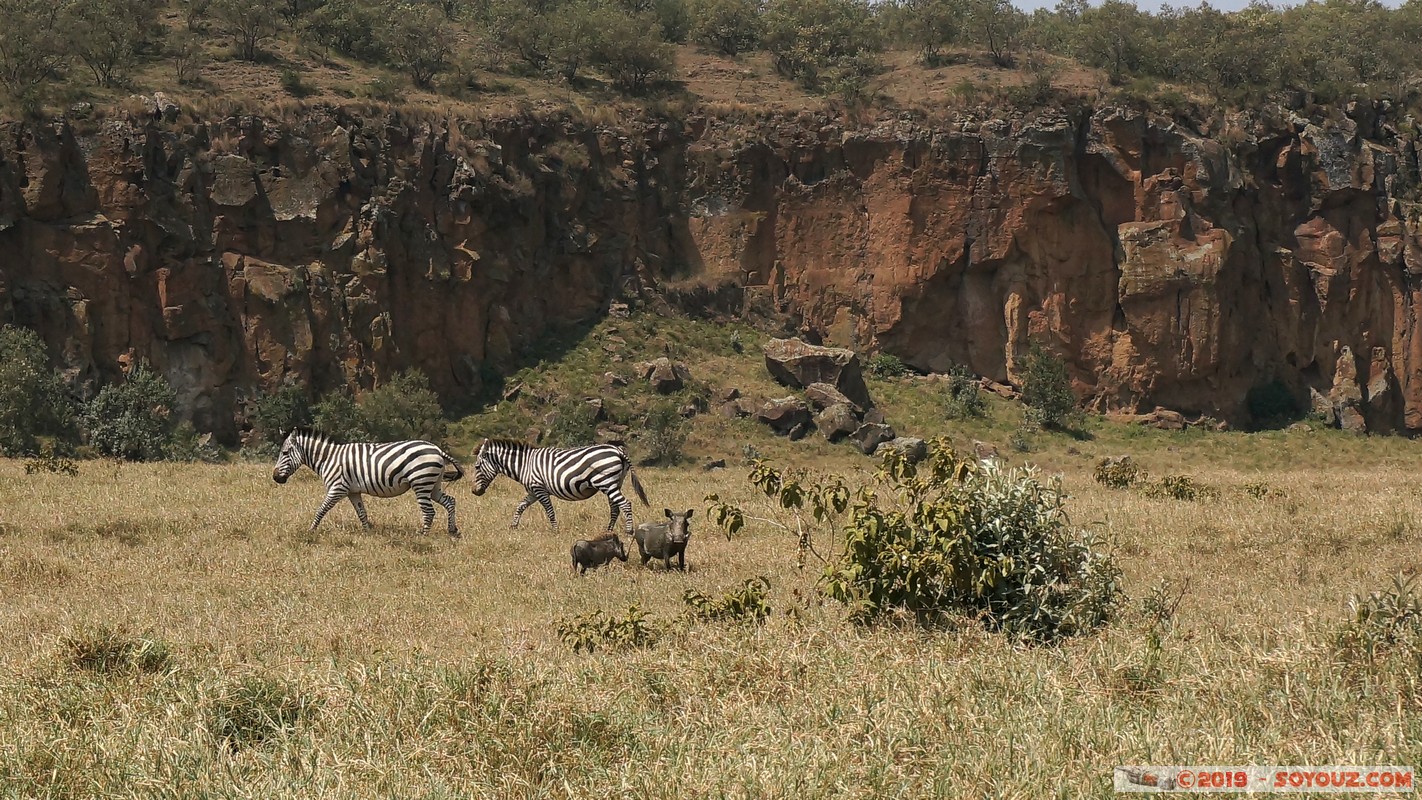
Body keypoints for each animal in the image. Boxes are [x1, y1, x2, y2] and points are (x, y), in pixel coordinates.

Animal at [268, 429, 463, 534]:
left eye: (284, 453)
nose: (275, 477)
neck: (327, 458)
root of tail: (437, 449)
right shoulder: (353, 491)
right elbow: (362, 512)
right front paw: (368, 532)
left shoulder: (337, 488)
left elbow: (321, 509)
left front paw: (311, 530)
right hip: (433, 484)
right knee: (450, 501)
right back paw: (452, 530)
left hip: (421, 482)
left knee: (429, 511)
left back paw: (423, 535)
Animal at [472, 437, 651, 537]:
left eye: (476, 467)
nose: (474, 492)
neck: (525, 465)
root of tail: (618, 450)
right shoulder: (533, 491)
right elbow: (520, 506)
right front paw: (513, 526)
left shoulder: (539, 489)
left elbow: (549, 511)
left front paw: (555, 531)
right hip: (614, 482)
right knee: (615, 507)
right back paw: (608, 531)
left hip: (606, 481)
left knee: (625, 504)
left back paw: (628, 531)